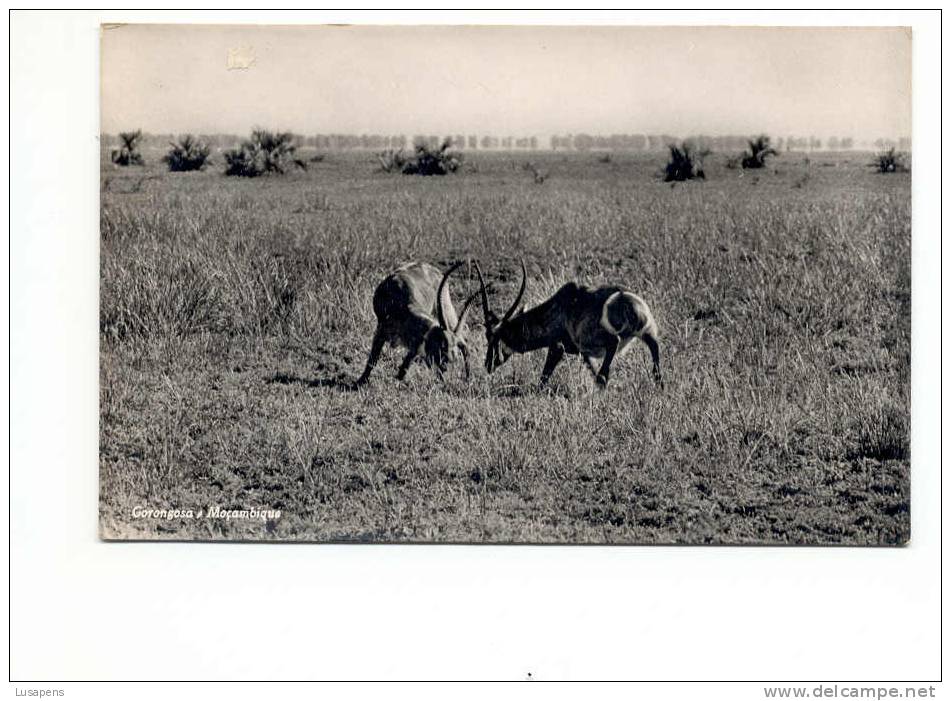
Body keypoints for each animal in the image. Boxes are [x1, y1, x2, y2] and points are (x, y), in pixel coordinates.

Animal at [474, 260, 660, 388]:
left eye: (495, 340)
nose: (488, 365)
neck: (557, 310)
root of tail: (623, 299)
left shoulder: (558, 346)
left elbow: (544, 377)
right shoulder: (584, 354)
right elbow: (591, 370)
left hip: (595, 338)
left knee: (614, 343)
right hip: (647, 331)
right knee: (654, 347)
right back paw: (659, 385)